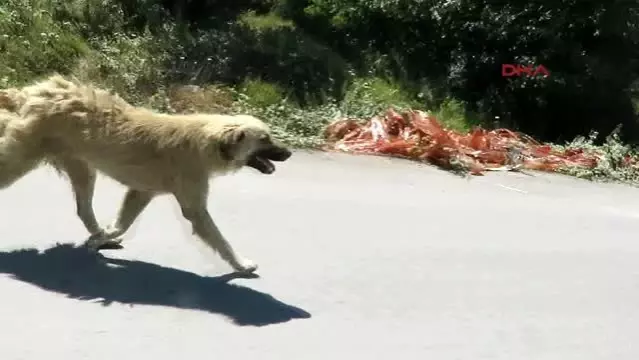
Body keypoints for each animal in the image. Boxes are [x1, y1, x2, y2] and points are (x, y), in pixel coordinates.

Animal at [0, 75, 294, 272]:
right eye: (265, 139)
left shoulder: (142, 192)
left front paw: (103, 237)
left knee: (83, 209)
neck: (206, 142)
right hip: (21, 159)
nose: (289, 153)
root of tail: (31, 92)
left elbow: (123, 223)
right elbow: (218, 238)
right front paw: (241, 264)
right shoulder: (193, 204)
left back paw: (98, 234)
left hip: (81, 166)